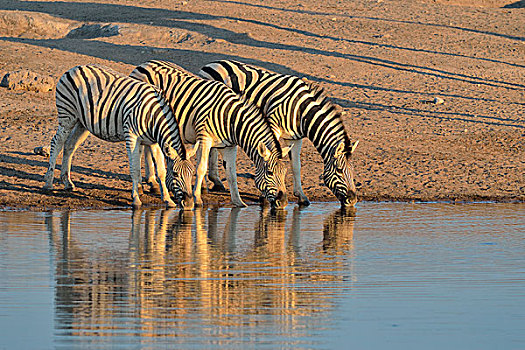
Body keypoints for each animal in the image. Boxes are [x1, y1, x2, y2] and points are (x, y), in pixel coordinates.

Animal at [43, 64, 196, 209]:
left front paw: (168, 200)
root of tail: (74, 68)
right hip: (67, 116)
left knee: (69, 146)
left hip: (82, 123)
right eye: (176, 174)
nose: (189, 204)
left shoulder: (154, 142)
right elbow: (134, 169)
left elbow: (161, 171)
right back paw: (48, 183)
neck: (153, 115)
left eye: (192, 173)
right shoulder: (132, 136)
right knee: (56, 143)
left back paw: (67, 182)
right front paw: (136, 199)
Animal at [127, 60, 290, 209]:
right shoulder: (204, 139)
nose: (283, 202)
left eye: (284, 173)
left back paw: (149, 184)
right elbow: (201, 168)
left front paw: (238, 202)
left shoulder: (230, 146)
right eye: (270, 173)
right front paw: (197, 199)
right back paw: (147, 184)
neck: (230, 118)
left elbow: (231, 174)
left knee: (146, 148)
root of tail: (143, 64)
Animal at [199, 60, 358, 208]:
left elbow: (296, 166)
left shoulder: (295, 138)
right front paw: (264, 197)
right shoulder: (272, 125)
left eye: (352, 170)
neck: (301, 110)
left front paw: (301, 196)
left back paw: (216, 182)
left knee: (213, 148)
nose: (353, 200)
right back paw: (204, 186)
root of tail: (213, 63)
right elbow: (270, 157)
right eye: (339, 170)